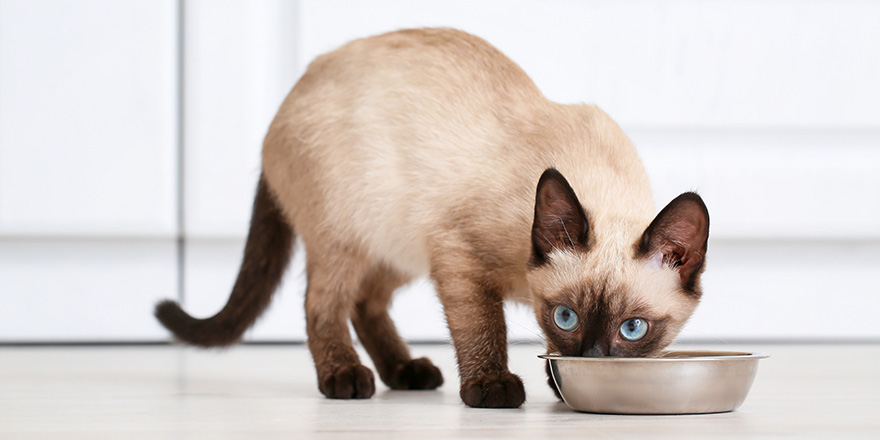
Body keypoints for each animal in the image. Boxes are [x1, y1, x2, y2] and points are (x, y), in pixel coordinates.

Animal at [155, 27, 712, 408]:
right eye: (566, 317)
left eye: (633, 329)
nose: (593, 361)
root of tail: (292, 93)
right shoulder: (459, 259)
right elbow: (482, 329)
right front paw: (492, 387)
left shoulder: (448, 258)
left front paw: (560, 386)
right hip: (348, 235)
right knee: (323, 304)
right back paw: (345, 378)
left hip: (397, 247)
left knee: (366, 304)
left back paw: (406, 372)